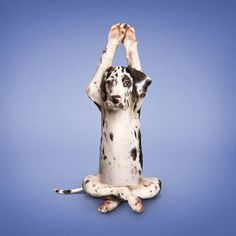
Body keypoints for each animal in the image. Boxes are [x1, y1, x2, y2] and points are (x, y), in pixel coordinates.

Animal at [53, 23, 161, 213]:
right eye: (109, 82)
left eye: (127, 82)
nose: (115, 99)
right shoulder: (94, 88)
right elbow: (105, 59)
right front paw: (115, 35)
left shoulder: (138, 101)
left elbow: (134, 58)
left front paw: (129, 38)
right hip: (89, 181)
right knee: (117, 191)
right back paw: (113, 202)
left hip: (156, 183)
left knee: (129, 193)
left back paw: (132, 201)